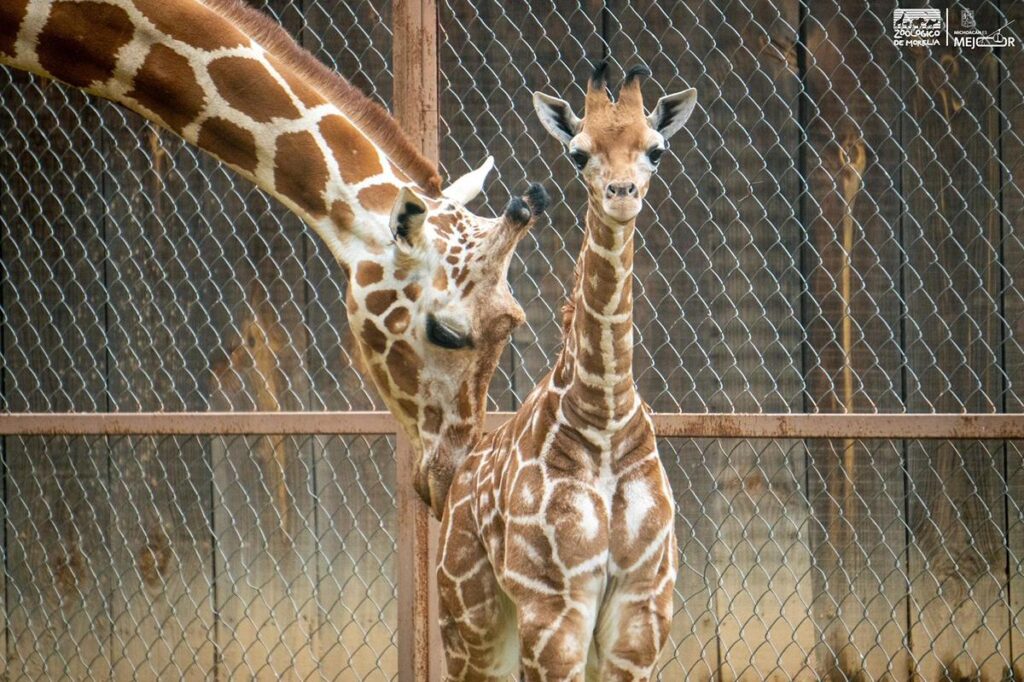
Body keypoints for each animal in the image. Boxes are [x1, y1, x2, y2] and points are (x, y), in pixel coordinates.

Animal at [435, 63, 698, 681]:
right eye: (579, 154)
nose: (622, 194)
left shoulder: (643, 605)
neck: (604, 416)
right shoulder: (555, 603)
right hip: (471, 621)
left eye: (655, 150)